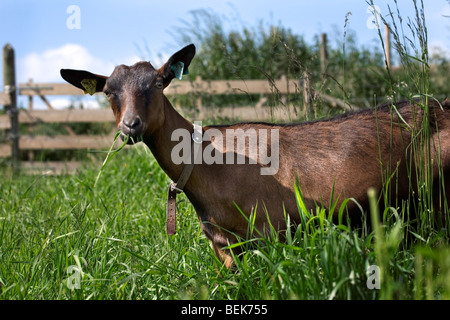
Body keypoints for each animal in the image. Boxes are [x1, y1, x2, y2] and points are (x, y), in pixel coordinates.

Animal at [61, 42, 450, 268]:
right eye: (108, 92)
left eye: (158, 83)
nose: (131, 125)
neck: (207, 163)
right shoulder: (223, 246)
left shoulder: (268, 232)